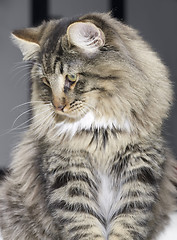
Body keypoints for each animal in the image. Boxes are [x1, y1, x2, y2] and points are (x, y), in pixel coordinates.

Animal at [0, 12, 177, 240]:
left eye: (71, 77)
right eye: (46, 82)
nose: (57, 106)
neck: (100, 131)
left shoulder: (140, 170)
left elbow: (127, 223)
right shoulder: (67, 174)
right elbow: (83, 224)